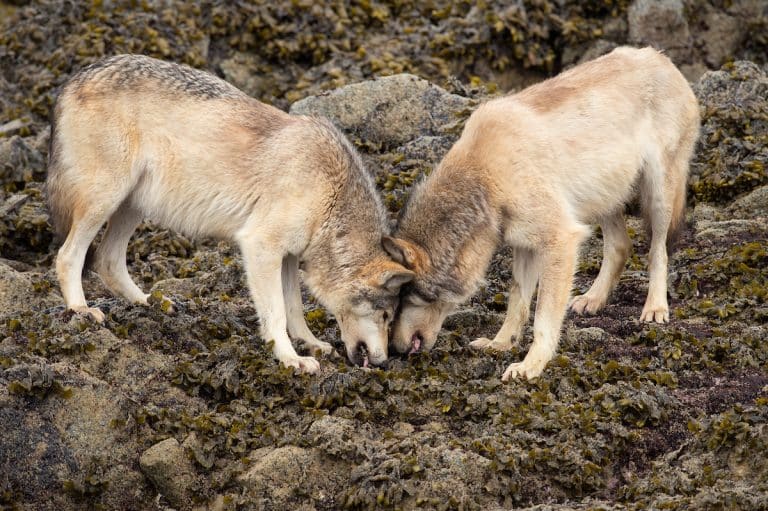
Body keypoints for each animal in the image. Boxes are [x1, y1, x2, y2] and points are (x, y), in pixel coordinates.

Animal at [48, 55, 414, 376]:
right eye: (385, 315)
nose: (383, 362)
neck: (330, 193)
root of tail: (75, 79)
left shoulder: (288, 257)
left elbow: (294, 308)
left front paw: (310, 344)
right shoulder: (260, 246)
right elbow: (276, 314)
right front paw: (290, 358)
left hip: (133, 207)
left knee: (107, 261)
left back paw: (150, 303)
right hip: (105, 200)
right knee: (68, 256)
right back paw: (81, 310)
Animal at [388, 47, 700, 380]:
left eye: (402, 299)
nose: (394, 349)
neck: (486, 176)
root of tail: (661, 57)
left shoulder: (560, 241)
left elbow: (542, 320)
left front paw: (530, 366)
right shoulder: (524, 246)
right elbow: (517, 302)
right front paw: (500, 344)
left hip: (658, 196)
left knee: (658, 251)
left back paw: (655, 308)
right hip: (601, 200)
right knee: (620, 247)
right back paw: (593, 299)